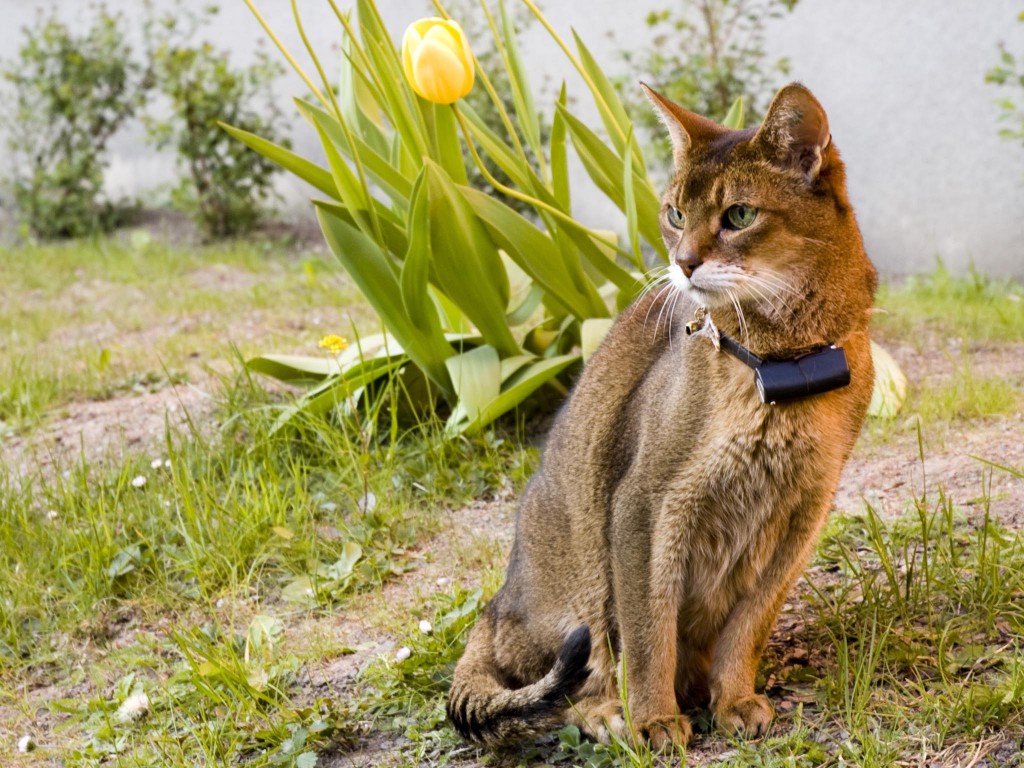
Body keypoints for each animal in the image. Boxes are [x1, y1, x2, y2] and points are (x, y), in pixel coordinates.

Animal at [444, 85, 876, 753]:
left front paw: (735, 698)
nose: (685, 263)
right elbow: (650, 632)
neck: (784, 366)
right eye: (674, 214)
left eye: (739, 216)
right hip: (583, 570)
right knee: (566, 682)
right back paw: (608, 713)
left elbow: (748, 626)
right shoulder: (644, 507)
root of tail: (494, 606)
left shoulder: (804, 514)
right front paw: (653, 718)